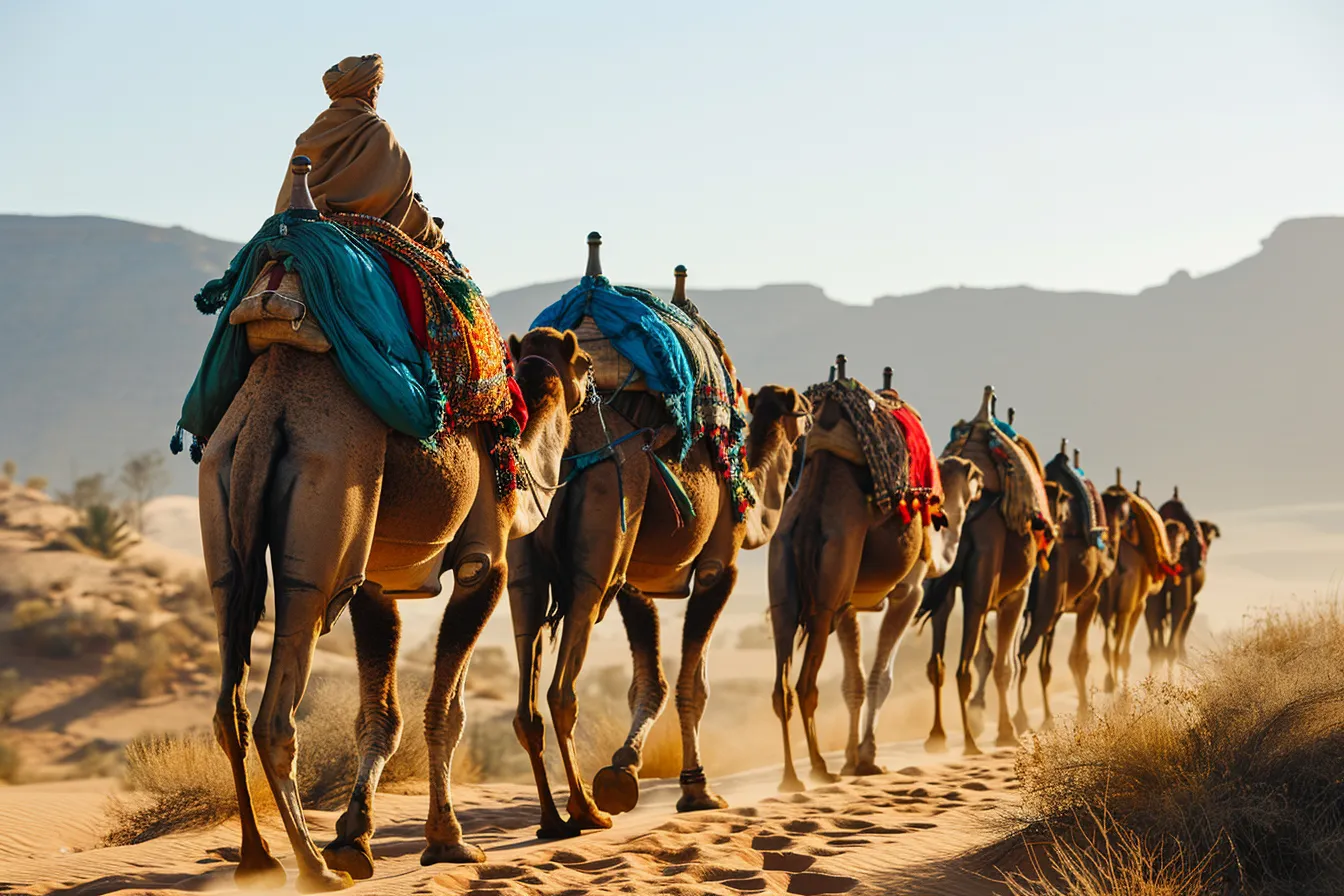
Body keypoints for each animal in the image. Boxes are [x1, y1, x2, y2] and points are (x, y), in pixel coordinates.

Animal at [199, 167, 588, 891]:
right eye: (581, 363)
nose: (592, 383)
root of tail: (266, 414)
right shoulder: (484, 564)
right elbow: (445, 712)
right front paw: (448, 842)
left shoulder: (378, 584)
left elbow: (380, 716)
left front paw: (356, 838)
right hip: (323, 531)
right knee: (275, 715)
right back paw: (311, 867)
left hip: (223, 498)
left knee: (227, 705)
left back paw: (258, 859)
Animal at [507, 247, 810, 838]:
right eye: (803, 413)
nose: (809, 418)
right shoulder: (718, 568)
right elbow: (693, 683)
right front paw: (696, 789)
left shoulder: (636, 583)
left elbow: (648, 681)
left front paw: (623, 770)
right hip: (596, 555)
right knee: (561, 691)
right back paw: (585, 812)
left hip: (526, 564)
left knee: (528, 701)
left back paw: (554, 819)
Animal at [768, 361, 972, 789]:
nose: (978, 477)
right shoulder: (908, 591)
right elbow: (880, 678)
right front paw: (866, 757)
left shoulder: (851, 603)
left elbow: (854, 683)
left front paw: (852, 759)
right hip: (831, 580)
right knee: (806, 684)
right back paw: (817, 768)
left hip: (785, 576)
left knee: (781, 687)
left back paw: (792, 777)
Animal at [918, 389, 1049, 755]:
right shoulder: (1016, 592)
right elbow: (1004, 664)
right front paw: (1007, 732)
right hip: (985, 573)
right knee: (967, 663)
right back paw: (970, 742)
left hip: (943, 581)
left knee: (938, 663)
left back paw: (938, 737)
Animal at [1010, 444, 1121, 731]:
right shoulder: (1088, 600)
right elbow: (1079, 658)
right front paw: (1083, 712)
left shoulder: (1058, 610)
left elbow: (1047, 666)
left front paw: (1050, 717)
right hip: (1045, 606)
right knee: (1021, 655)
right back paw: (1020, 718)